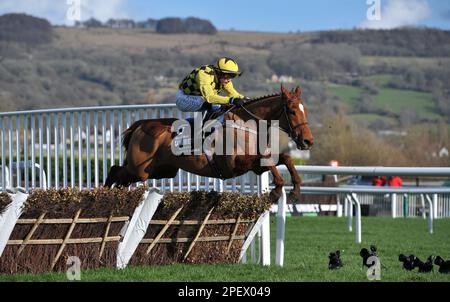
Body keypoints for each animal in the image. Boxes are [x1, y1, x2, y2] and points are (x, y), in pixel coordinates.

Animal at [105, 85, 314, 202]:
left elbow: (284, 158)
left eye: (305, 110)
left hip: (161, 170)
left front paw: (295, 189)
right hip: (140, 169)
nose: (308, 141)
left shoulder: (254, 167)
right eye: (292, 111)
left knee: (120, 176)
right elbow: (268, 159)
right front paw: (276, 191)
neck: (246, 124)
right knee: (115, 171)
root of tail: (140, 125)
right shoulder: (236, 164)